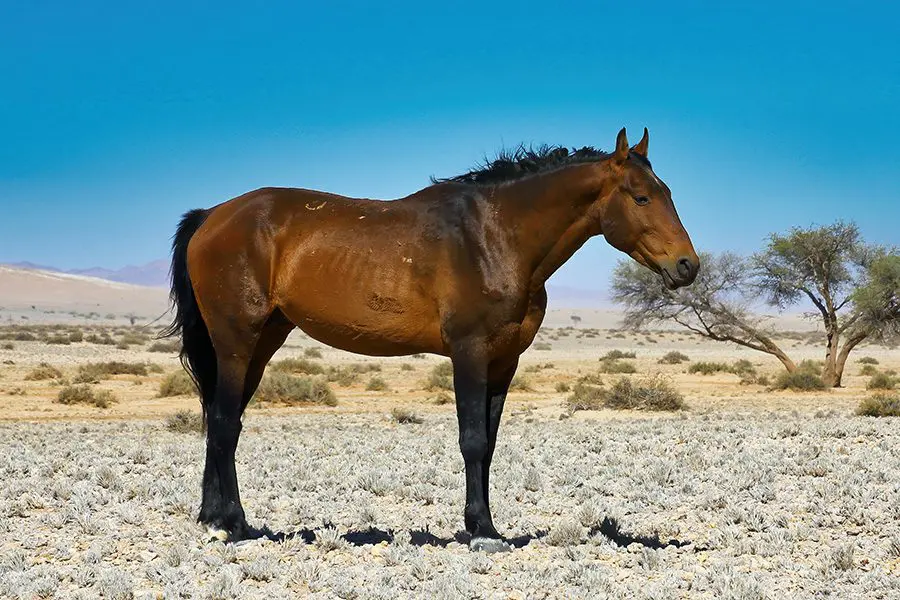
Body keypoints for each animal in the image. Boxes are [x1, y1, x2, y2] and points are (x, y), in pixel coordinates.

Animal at [162, 126, 700, 552]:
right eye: (641, 197)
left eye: (670, 192)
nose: (687, 266)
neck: (494, 236)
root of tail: (212, 216)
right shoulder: (469, 353)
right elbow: (473, 440)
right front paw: (482, 532)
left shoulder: (504, 362)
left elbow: (490, 444)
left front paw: (486, 526)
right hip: (237, 341)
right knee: (225, 422)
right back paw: (230, 525)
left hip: (262, 342)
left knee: (219, 419)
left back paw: (216, 519)